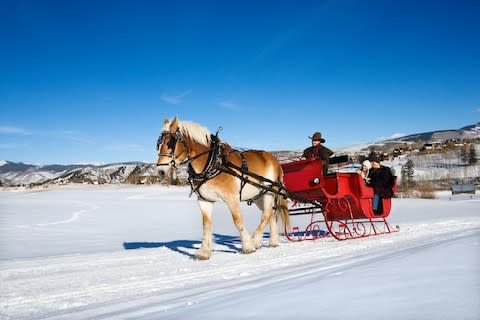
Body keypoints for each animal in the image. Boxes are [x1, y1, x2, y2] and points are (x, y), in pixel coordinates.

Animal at [157, 116, 288, 258]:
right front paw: (204, 251)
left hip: (270, 192)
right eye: (158, 144)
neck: (214, 162)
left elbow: (238, 221)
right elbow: (206, 225)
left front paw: (248, 246)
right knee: (271, 214)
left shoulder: (232, 198)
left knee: (267, 215)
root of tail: (275, 161)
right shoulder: (204, 200)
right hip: (259, 196)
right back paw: (273, 241)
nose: (160, 171)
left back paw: (255, 240)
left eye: (170, 143)